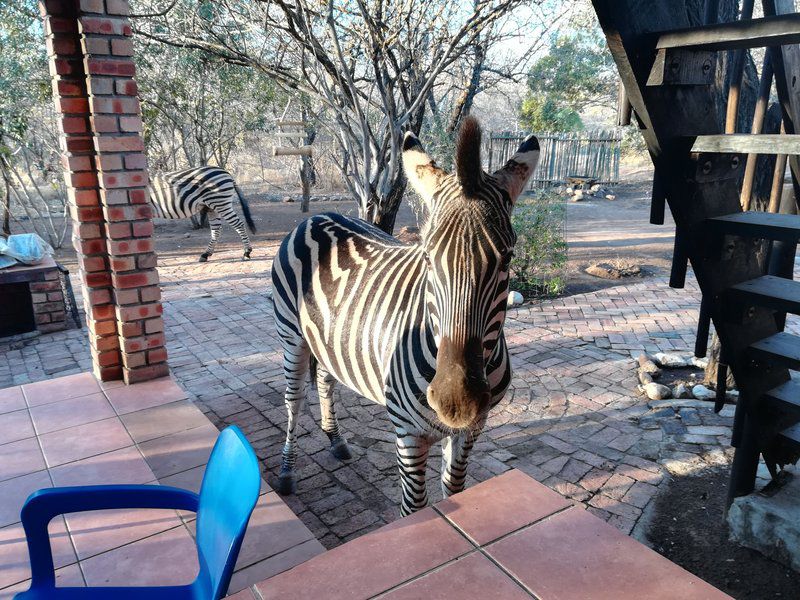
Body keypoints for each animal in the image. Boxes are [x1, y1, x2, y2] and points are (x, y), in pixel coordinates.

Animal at [272, 118, 540, 516]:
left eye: (507, 258)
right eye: (427, 257)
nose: (456, 403)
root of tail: (317, 216)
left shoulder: (471, 430)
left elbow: (454, 488)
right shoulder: (407, 431)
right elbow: (415, 508)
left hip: (327, 335)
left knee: (325, 377)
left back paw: (335, 439)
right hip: (292, 336)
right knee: (293, 401)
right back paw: (287, 471)